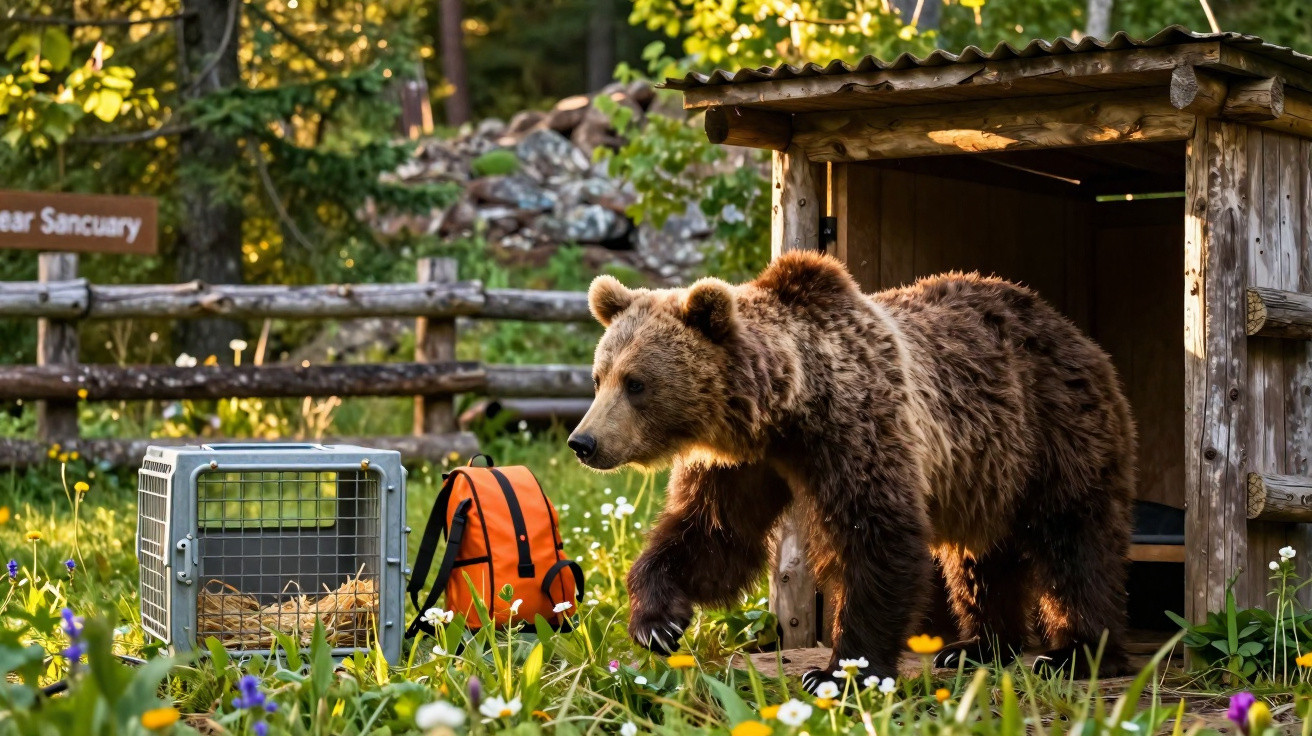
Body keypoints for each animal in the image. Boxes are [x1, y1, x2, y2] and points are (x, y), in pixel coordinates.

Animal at [567, 250, 1136, 689]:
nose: (583, 442)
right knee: (980, 557)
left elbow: (877, 539)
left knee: (1074, 540)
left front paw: (838, 672)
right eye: (598, 377)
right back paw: (979, 645)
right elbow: (712, 536)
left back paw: (1075, 653)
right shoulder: (742, 465)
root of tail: (1074, 333)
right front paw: (657, 622)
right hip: (986, 473)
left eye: (636, 383)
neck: (785, 412)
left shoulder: (857, 429)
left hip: (1053, 429)